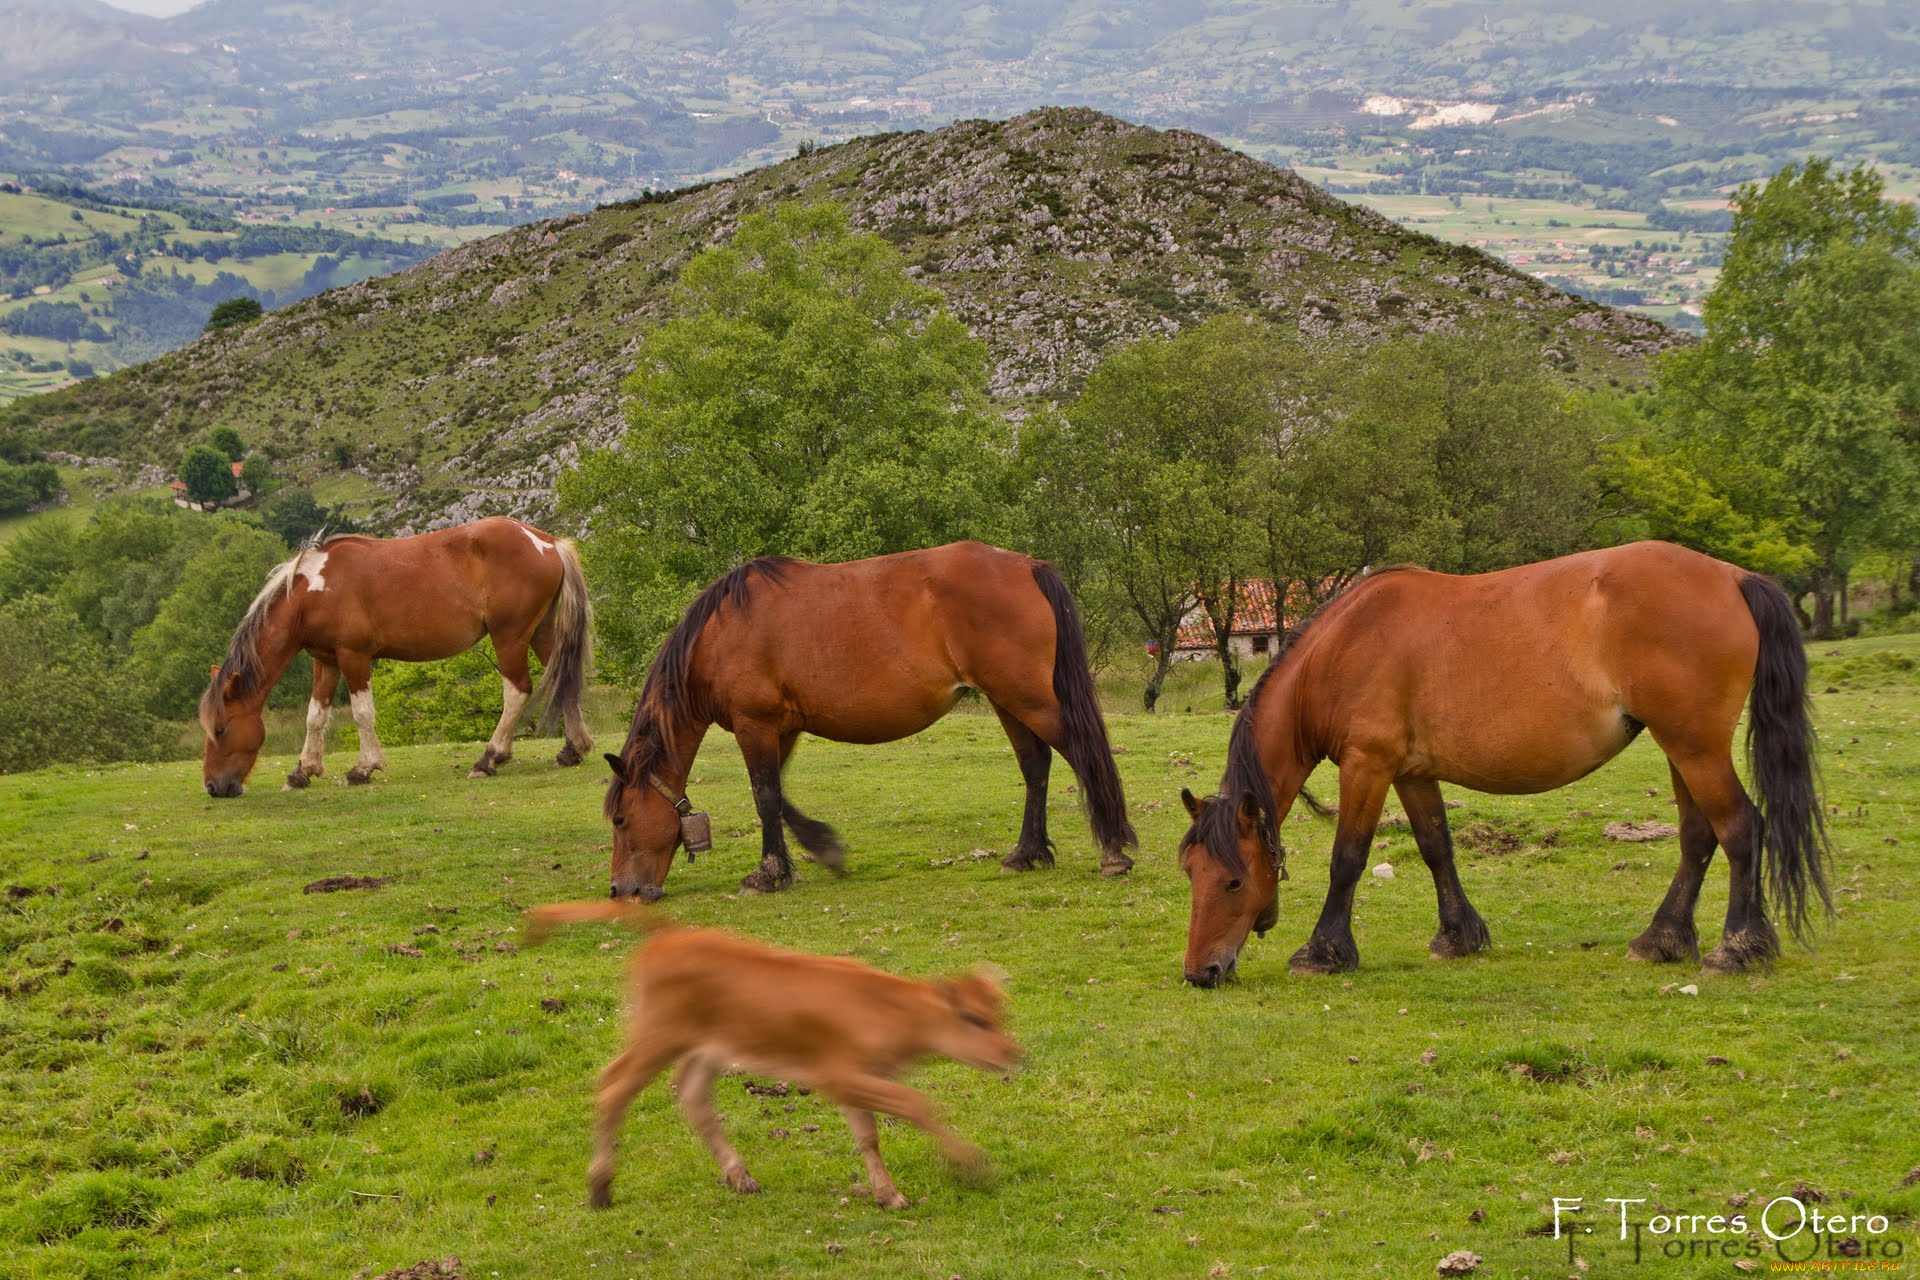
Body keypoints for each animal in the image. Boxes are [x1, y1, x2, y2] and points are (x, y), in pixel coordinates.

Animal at [199, 516, 594, 797]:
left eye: (221, 729)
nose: (214, 787)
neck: (314, 590)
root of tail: (547, 542)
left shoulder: (354, 656)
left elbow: (362, 713)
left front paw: (363, 769)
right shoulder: (325, 660)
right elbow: (315, 716)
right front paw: (302, 772)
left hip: (510, 637)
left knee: (517, 691)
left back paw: (489, 758)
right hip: (540, 633)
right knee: (565, 681)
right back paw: (572, 749)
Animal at [601, 541, 1137, 899]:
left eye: (622, 819)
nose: (620, 891)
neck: (722, 631)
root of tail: (1028, 566)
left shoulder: (756, 725)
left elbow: (766, 796)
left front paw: (768, 874)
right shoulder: (783, 728)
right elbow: (781, 798)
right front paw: (823, 850)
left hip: (1028, 699)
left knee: (1082, 754)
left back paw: (1112, 852)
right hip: (1009, 702)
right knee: (1035, 767)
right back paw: (1027, 853)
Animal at [1178, 541, 1831, 987]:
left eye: (1233, 880)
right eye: (1191, 873)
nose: (1199, 972)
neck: (1344, 648)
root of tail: (1732, 576)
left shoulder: (1368, 765)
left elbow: (1348, 860)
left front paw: (1323, 952)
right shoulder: (1411, 772)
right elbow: (1436, 847)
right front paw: (1458, 936)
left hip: (1695, 748)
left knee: (1741, 828)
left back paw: (1737, 947)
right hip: (1682, 749)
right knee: (1699, 836)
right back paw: (1662, 939)